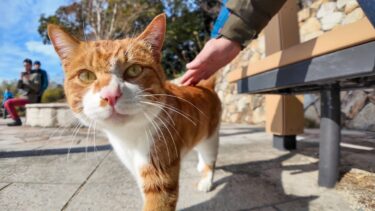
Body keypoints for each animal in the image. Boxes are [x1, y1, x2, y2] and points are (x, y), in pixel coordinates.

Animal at [48, 13, 222, 211]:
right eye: (86, 75)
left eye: (134, 69)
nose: (111, 95)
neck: (128, 136)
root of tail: (205, 86)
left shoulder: (159, 161)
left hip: (211, 135)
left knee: (210, 157)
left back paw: (206, 180)